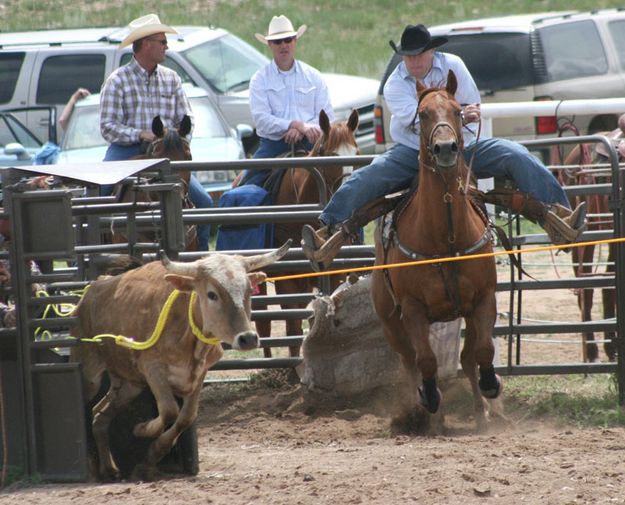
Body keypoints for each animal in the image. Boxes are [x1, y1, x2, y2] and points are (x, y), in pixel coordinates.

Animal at [255, 108, 360, 356]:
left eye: (357, 152)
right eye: (330, 155)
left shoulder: (332, 274)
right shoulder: (288, 281)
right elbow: (293, 328)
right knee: (263, 325)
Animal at [370, 70, 502, 434]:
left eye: (458, 111)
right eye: (423, 114)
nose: (445, 148)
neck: (446, 238)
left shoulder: (484, 299)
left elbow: (482, 351)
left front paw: (491, 387)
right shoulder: (413, 309)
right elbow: (427, 361)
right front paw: (429, 400)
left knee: (467, 358)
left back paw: (481, 413)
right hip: (391, 321)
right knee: (411, 362)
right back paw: (428, 415)